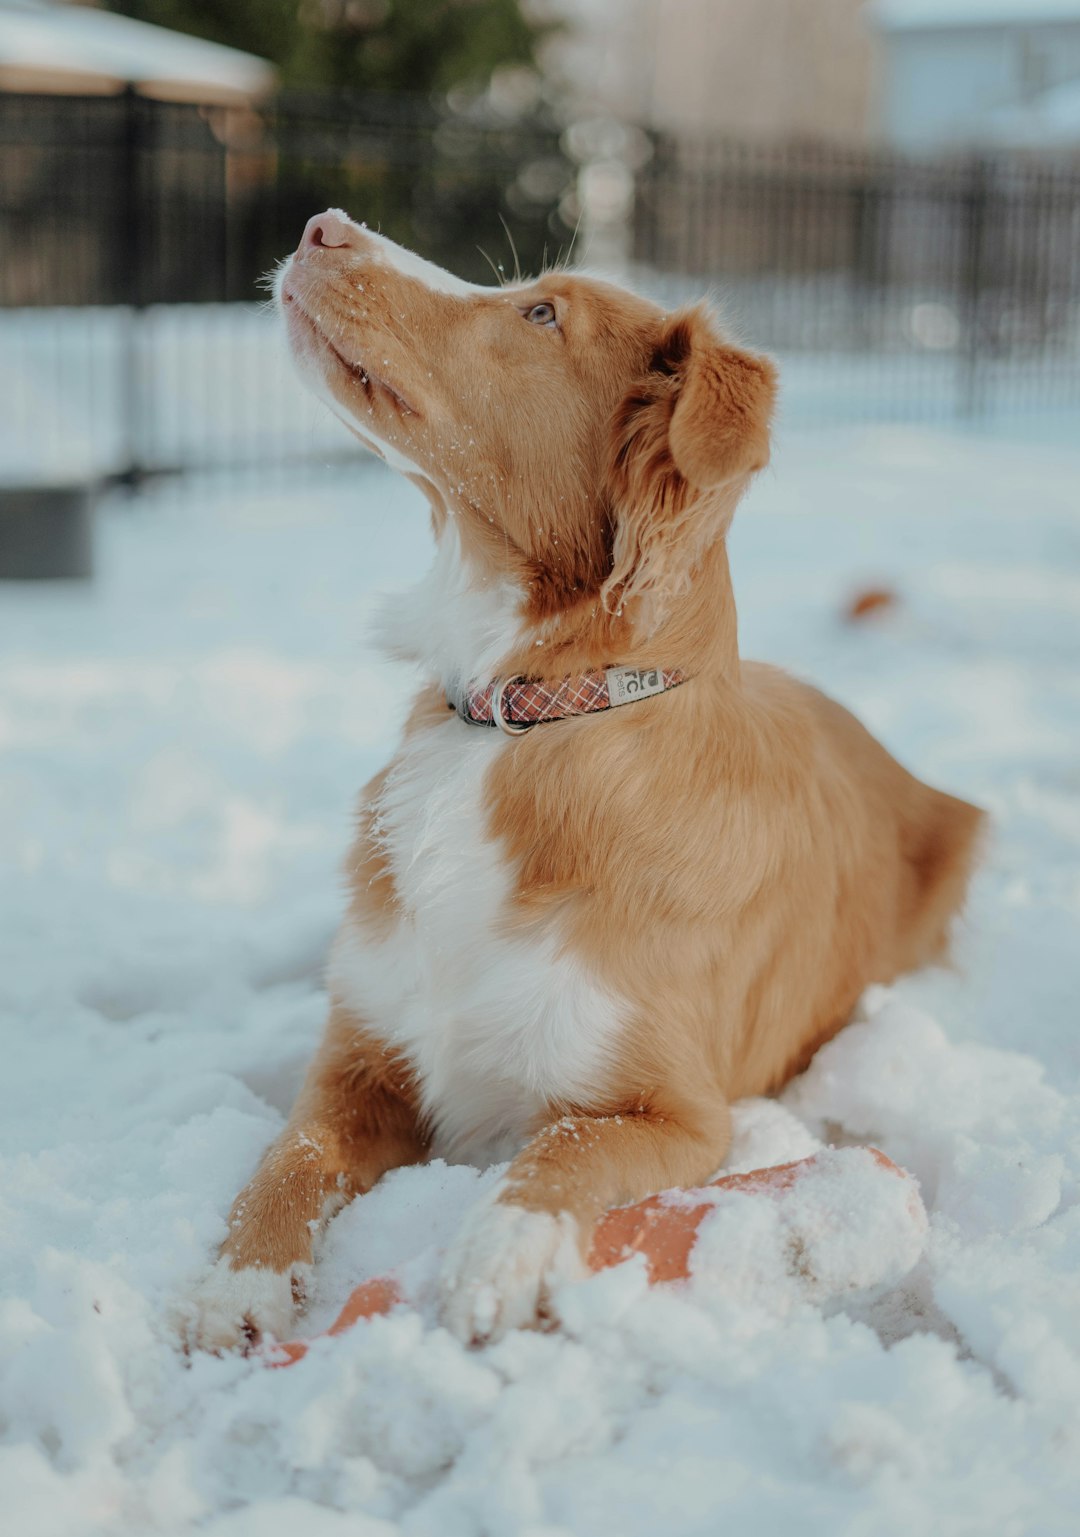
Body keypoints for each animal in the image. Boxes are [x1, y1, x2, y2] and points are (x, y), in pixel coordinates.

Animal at [188, 213, 989, 1346]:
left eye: (539, 313)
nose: (323, 226)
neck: (518, 721)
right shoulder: (357, 1061)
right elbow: (289, 1152)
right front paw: (239, 1278)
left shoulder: (677, 1108)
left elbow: (562, 1147)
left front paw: (499, 1250)